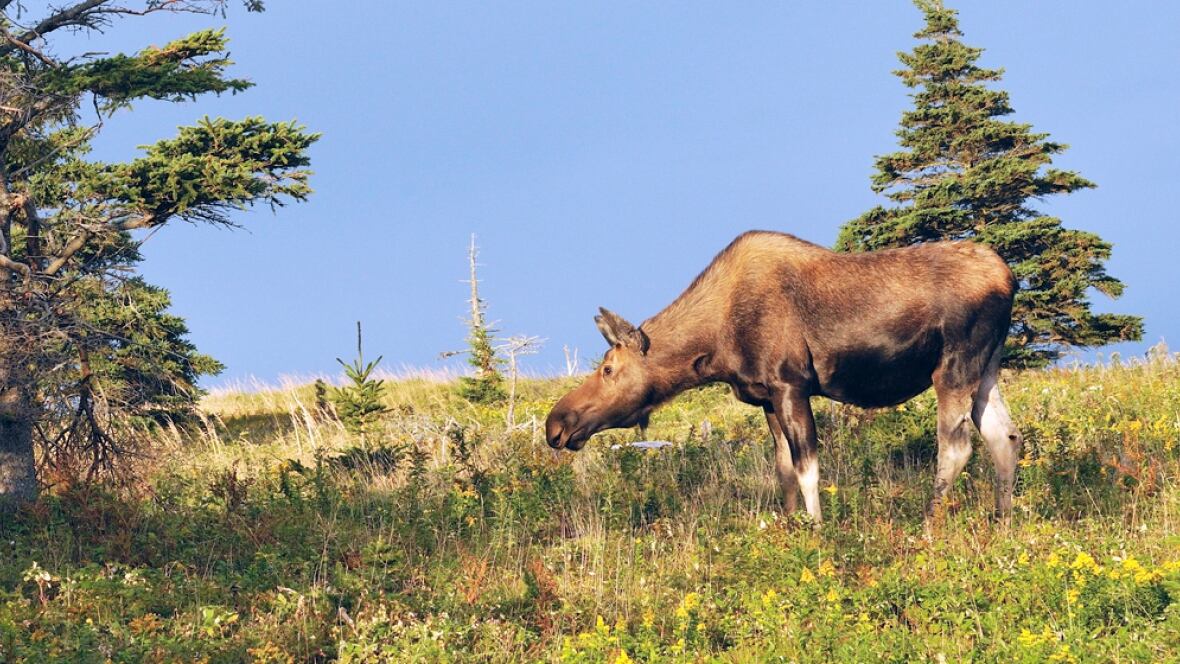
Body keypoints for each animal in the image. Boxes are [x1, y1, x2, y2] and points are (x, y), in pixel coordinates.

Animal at [544, 230, 1022, 524]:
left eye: (608, 368)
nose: (556, 424)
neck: (715, 342)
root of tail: (1010, 278)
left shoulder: (790, 384)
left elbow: (808, 468)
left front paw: (817, 529)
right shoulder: (766, 398)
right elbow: (784, 473)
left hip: (954, 365)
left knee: (956, 447)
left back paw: (927, 526)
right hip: (986, 368)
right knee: (1005, 436)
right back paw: (1003, 521)